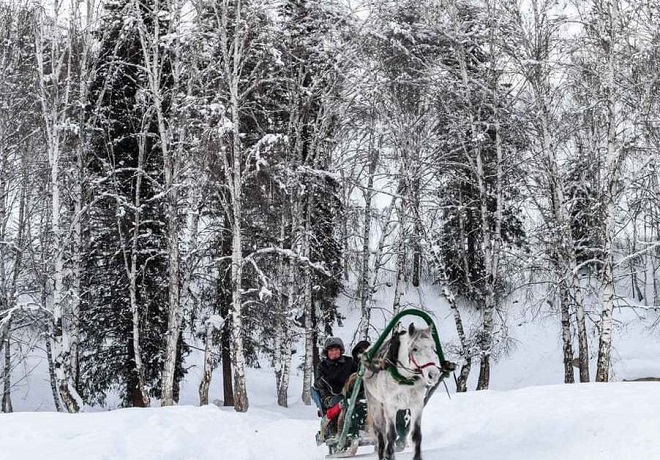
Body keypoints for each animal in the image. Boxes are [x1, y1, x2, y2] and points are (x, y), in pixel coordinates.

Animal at [360, 324, 444, 460]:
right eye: (414, 348)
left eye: (433, 347)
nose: (433, 374)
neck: (405, 378)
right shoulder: (390, 406)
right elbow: (391, 435)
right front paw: (389, 455)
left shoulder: (416, 406)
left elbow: (416, 434)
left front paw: (417, 457)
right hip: (375, 403)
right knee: (380, 432)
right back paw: (382, 453)